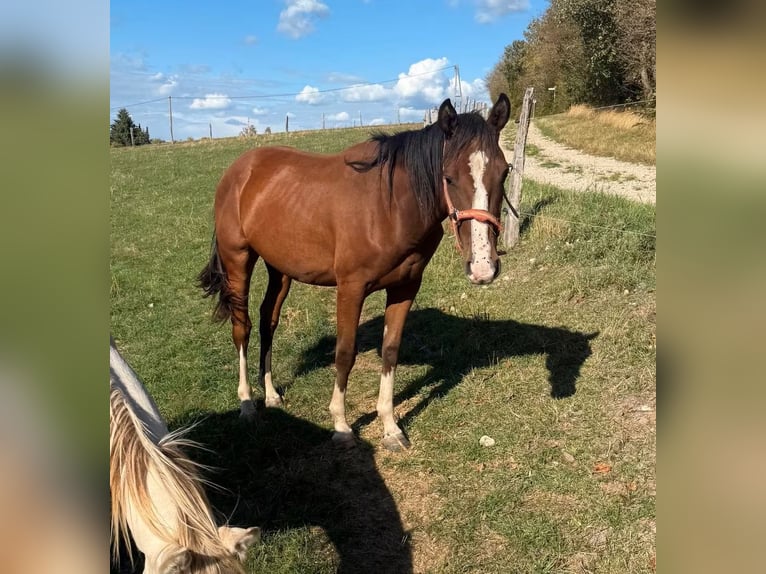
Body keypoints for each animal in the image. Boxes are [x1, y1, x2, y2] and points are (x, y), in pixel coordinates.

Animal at [199, 94, 511, 451]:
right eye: (448, 177)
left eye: (504, 172)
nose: (483, 267)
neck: (389, 205)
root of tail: (239, 171)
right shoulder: (351, 288)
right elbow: (345, 353)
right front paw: (341, 425)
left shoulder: (405, 288)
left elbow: (390, 351)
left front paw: (390, 428)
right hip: (238, 261)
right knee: (243, 327)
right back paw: (247, 403)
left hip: (280, 268)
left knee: (268, 320)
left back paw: (272, 395)